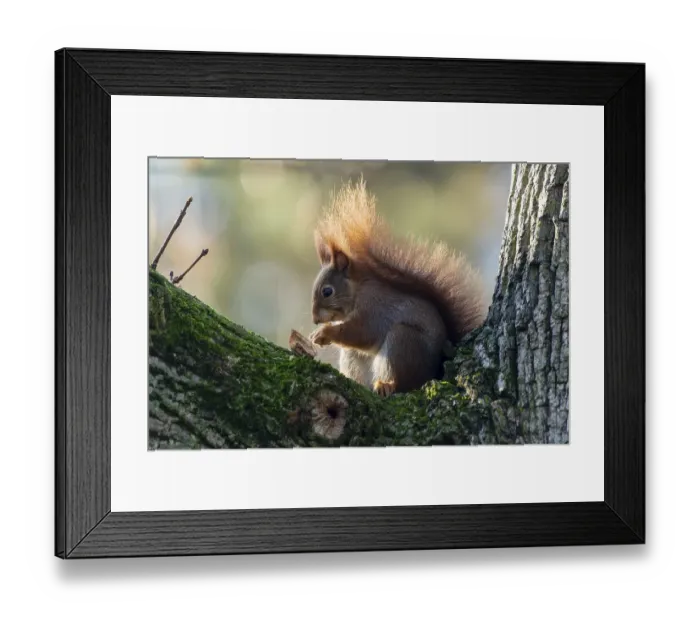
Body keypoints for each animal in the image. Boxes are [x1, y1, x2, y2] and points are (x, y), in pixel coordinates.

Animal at [309, 178, 486, 396]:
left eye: (327, 291)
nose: (315, 320)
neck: (357, 291)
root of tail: (434, 372)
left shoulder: (373, 307)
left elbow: (362, 332)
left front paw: (324, 333)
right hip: (354, 357)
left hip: (403, 340)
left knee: (402, 381)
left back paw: (387, 385)